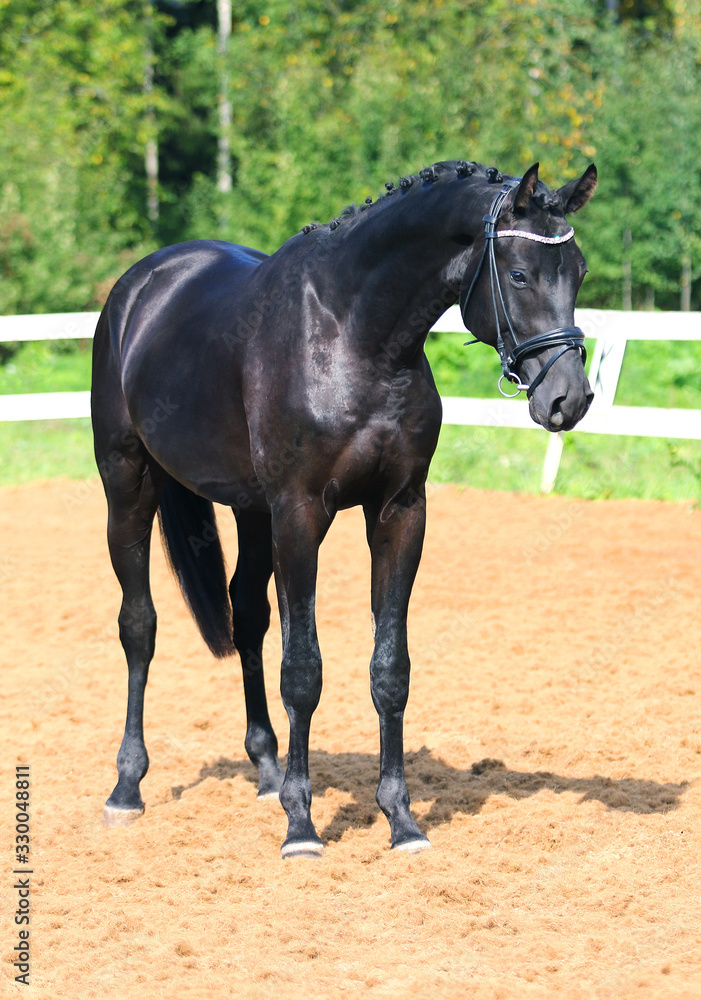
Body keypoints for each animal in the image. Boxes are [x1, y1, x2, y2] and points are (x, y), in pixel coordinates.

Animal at [91, 159, 597, 858]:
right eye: (520, 274)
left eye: (578, 272)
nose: (568, 399)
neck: (354, 334)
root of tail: (140, 286)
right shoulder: (301, 514)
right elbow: (304, 669)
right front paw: (302, 828)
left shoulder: (398, 512)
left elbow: (391, 669)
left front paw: (401, 820)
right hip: (129, 484)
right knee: (139, 626)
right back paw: (127, 787)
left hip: (253, 512)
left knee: (247, 617)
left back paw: (268, 769)